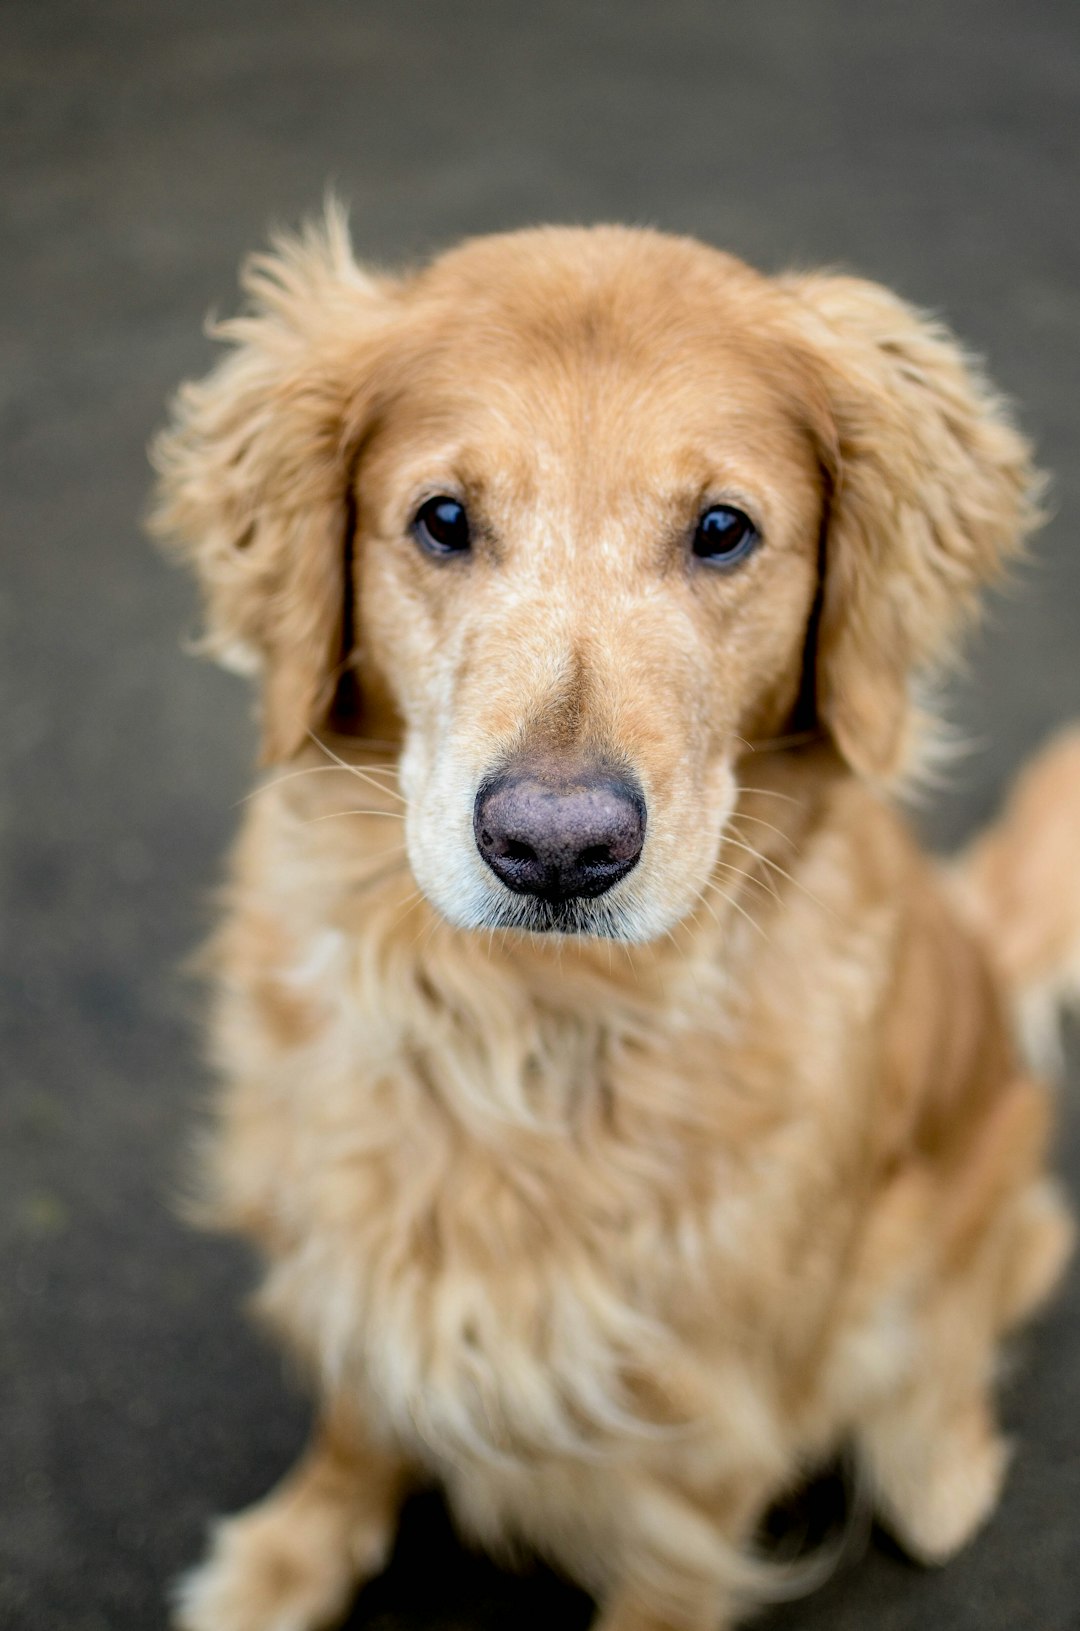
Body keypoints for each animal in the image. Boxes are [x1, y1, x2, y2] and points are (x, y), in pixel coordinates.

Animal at [154, 203, 1080, 1631]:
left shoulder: (710, 1420)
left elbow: (667, 1573)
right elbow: (357, 1416)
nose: (556, 847)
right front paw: (290, 1555)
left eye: (722, 529)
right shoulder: (348, 1236)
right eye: (441, 518)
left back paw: (938, 1466)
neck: (525, 1023)